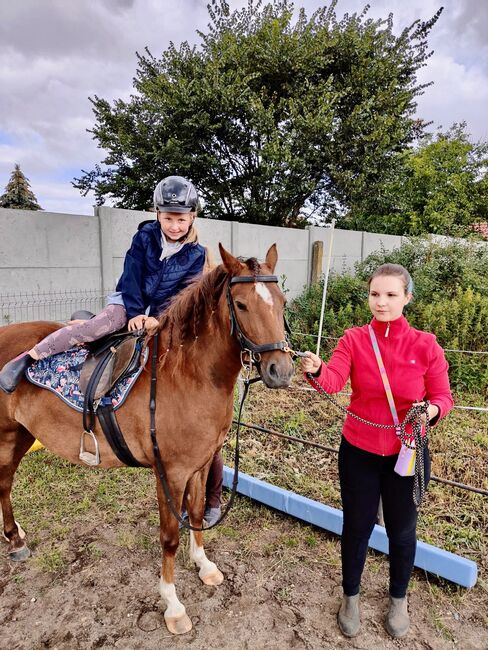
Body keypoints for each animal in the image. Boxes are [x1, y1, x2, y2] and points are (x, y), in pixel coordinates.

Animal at [0, 243, 294, 632]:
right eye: (242, 305)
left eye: (281, 302)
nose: (280, 370)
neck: (186, 374)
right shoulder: (170, 473)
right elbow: (169, 537)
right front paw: (173, 606)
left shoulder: (200, 467)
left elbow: (196, 514)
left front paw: (204, 565)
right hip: (6, 435)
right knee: (4, 482)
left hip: (20, 434)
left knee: (4, 483)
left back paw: (15, 536)